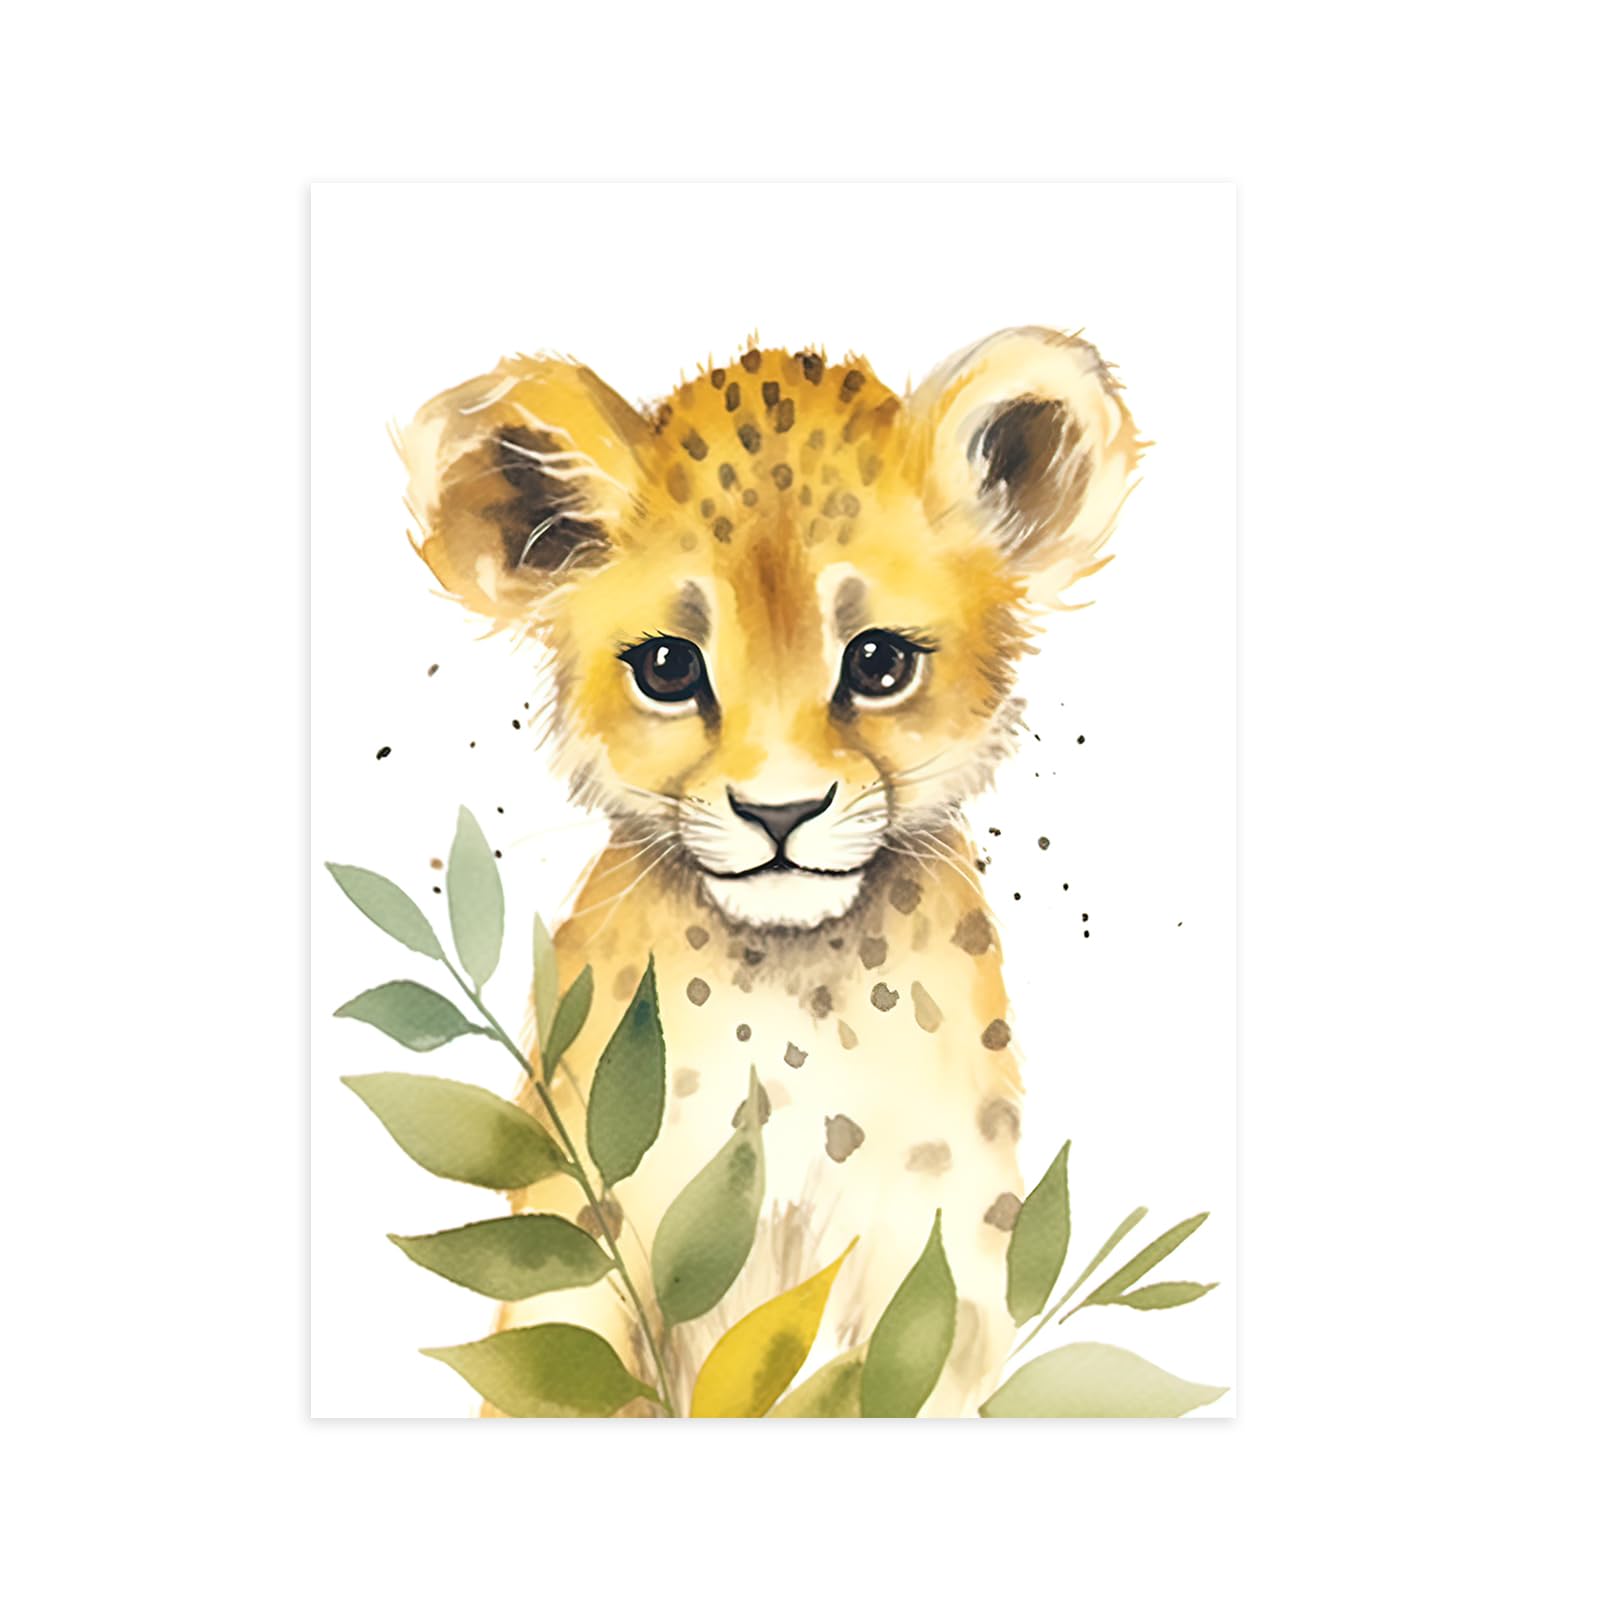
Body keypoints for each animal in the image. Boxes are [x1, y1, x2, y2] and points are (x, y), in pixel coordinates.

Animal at [400, 326, 1142, 1415]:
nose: (780, 812)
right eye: (669, 668)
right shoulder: (582, 1252)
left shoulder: (941, 1271)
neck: (794, 1012)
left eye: (877, 662)